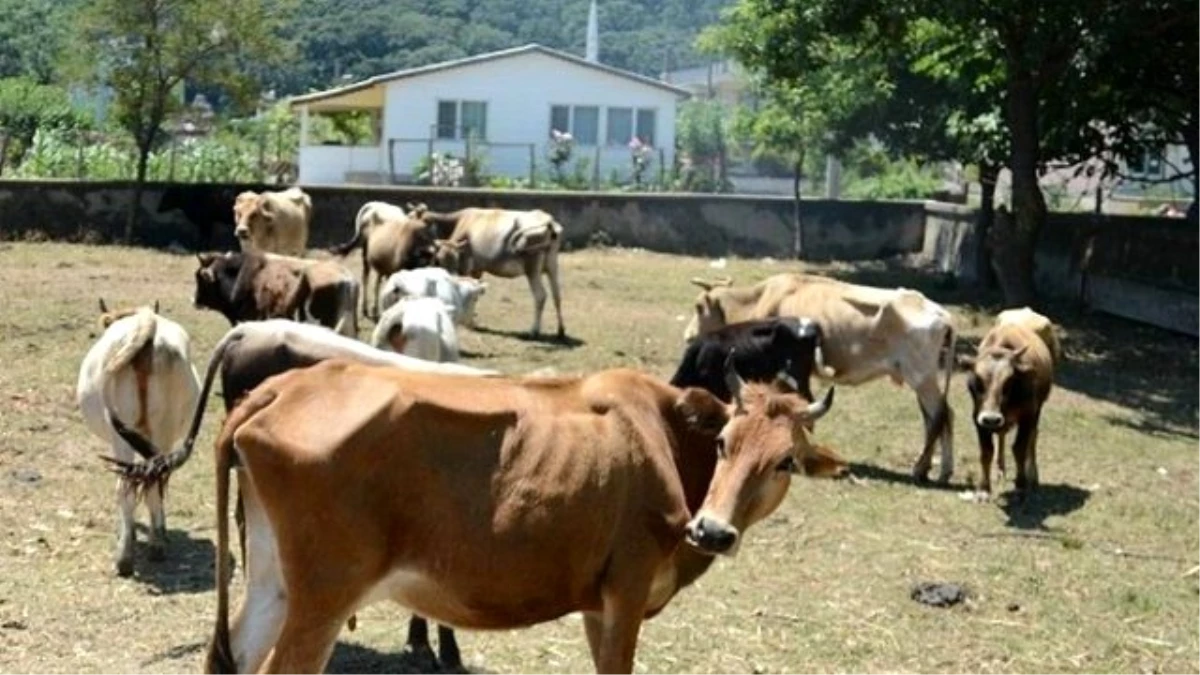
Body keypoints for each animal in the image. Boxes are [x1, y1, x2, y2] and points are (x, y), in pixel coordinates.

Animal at [75, 302, 199, 576]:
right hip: (157, 433)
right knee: (151, 480)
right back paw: (152, 545)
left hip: (125, 436)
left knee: (129, 484)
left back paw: (129, 554)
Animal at [108, 360, 830, 667]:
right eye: (725, 441)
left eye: (785, 460)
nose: (713, 528)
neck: (666, 441)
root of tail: (283, 386)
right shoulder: (626, 590)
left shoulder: (597, 603)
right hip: (324, 594)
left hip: (272, 582)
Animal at [424, 206, 568, 336]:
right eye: (438, 260)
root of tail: (548, 219)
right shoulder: (478, 269)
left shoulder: (467, 267)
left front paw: (470, 323)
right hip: (552, 266)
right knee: (557, 295)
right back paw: (561, 331)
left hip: (532, 269)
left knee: (540, 296)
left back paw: (534, 330)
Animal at [686, 273, 955, 482]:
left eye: (699, 307)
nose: (688, 336)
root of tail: (942, 314)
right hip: (924, 380)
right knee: (942, 415)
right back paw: (943, 471)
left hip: (921, 378)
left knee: (938, 416)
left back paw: (920, 468)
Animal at [960, 307, 1056, 492]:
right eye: (977, 378)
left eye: (1009, 380)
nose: (991, 418)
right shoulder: (978, 416)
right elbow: (986, 451)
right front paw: (983, 488)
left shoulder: (1028, 415)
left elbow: (1020, 448)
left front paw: (1021, 482)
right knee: (1002, 435)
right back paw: (1000, 469)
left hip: (1038, 408)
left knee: (1033, 436)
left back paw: (1033, 475)